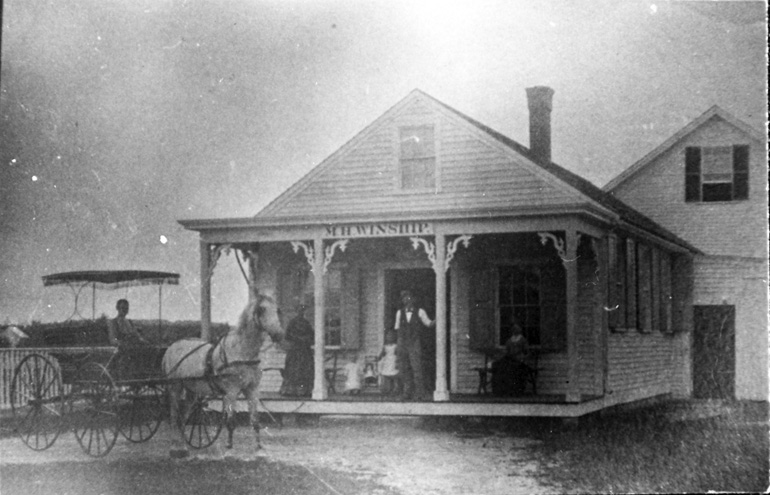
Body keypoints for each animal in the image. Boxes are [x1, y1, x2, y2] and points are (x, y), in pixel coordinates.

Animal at [163, 290, 284, 458]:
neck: (242, 351)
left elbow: (255, 420)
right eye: (262, 309)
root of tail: (171, 347)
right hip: (175, 387)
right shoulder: (231, 391)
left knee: (183, 416)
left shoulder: (252, 390)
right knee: (174, 416)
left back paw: (184, 447)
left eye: (278, 310)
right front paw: (229, 450)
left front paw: (259, 449)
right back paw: (175, 448)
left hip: (192, 391)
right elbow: (231, 421)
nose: (279, 335)